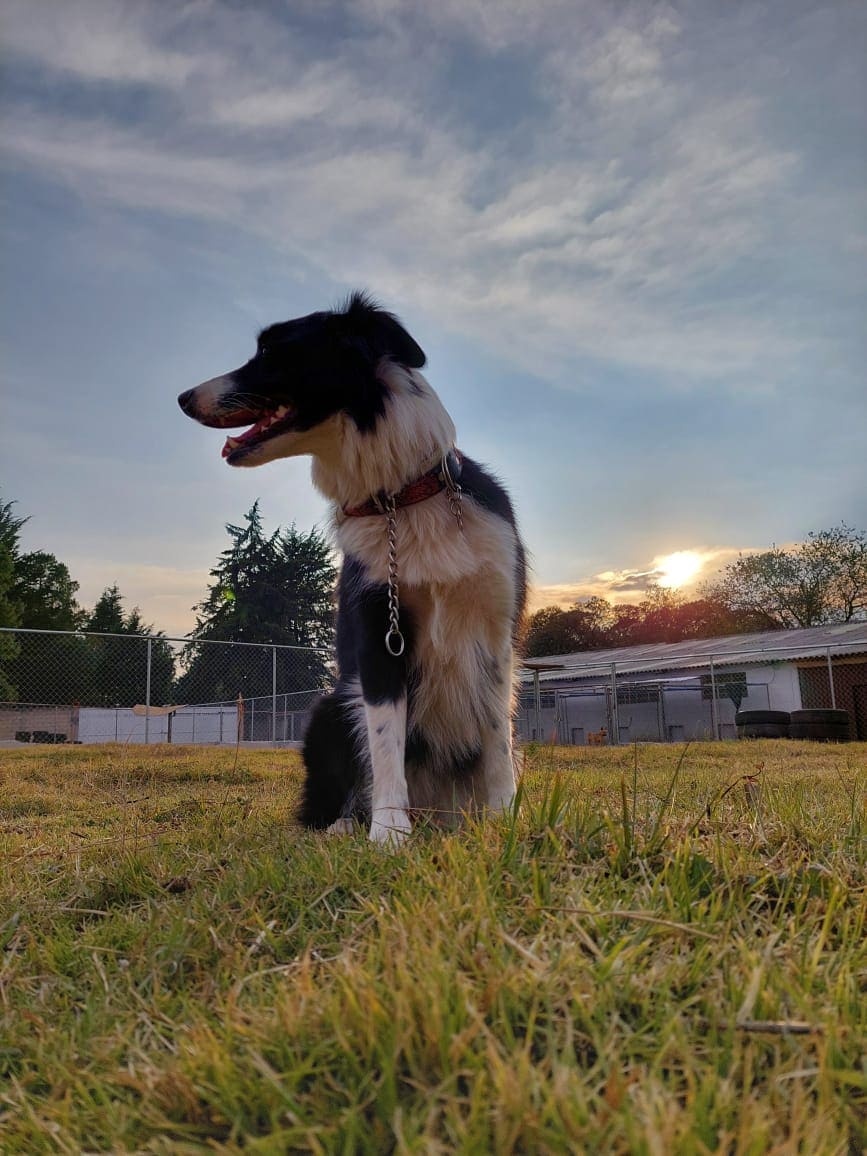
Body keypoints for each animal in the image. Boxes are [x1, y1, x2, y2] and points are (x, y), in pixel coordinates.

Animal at [180, 293, 527, 846]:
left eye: (270, 351)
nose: (183, 397)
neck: (402, 501)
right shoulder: (377, 635)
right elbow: (385, 742)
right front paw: (388, 832)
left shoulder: (495, 634)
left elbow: (498, 736)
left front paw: (503, 817)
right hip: (330, 706)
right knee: (328, 800)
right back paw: (347, 824)